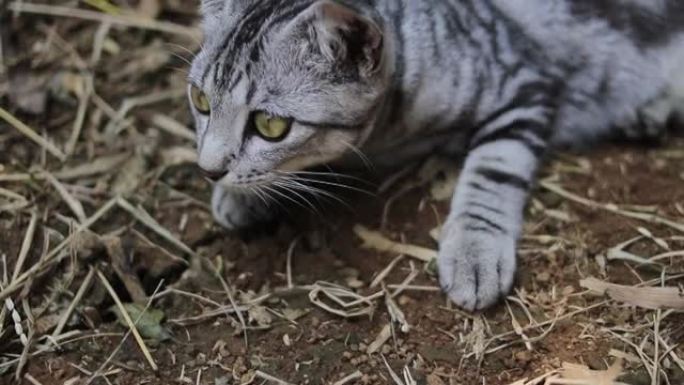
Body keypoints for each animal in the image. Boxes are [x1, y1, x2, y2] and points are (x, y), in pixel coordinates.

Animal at [187, 0, 684, 310]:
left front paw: (474, 251)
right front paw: (245, 195)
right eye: (200, 100)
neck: (388, 134)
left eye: (270, 125)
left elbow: (493, 170)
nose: (208, 170)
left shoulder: (522, 84)